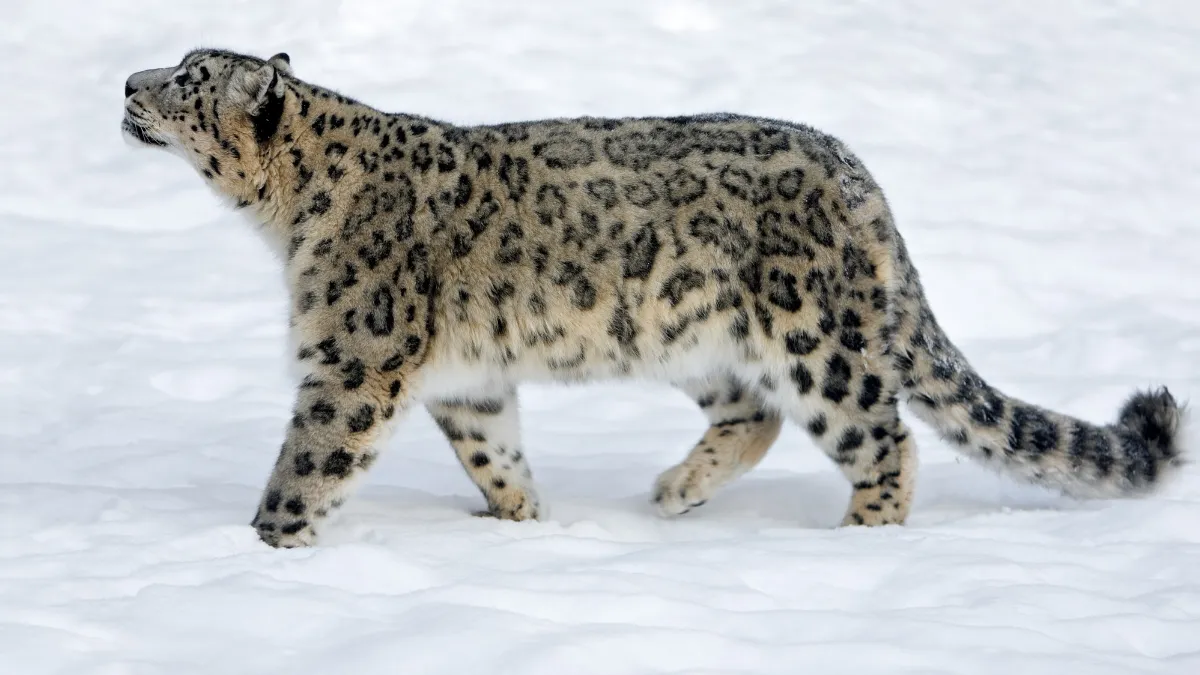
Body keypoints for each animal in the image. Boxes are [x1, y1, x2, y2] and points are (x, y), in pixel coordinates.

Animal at [122, 48, 1187, 548]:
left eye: (188, 79)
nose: (129, 82)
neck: (286, 218)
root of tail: (860, 177)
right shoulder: (466, 380)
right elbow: (492, 449)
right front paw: (521, 518)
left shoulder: (354, 357)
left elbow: (308, 462)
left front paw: (262, 547)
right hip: (695, 335)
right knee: (754, 412)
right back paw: (676, 491)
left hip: (817, 337)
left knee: (884, 436)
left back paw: (861, 540)